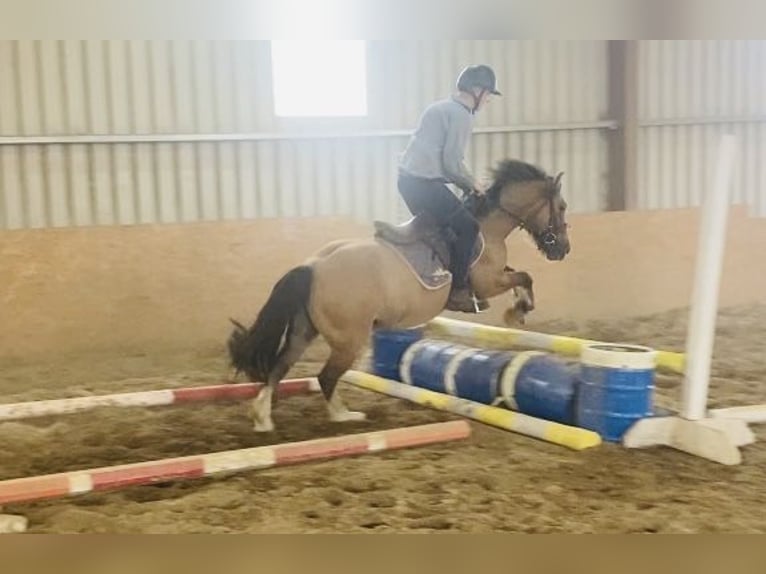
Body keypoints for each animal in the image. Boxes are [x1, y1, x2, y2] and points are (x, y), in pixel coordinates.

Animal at [226, 160, 568, 434]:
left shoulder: (497, 275)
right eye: (562, 206)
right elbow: (524, 277)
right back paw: (344, 416)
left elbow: (520, 275)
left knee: (280, 366)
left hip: (304, 330)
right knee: (325, 376)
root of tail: (314, 265)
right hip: (348, 339)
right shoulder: (488, 282)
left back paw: (263, 418)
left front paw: (519, 307)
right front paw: (519, 310)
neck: (489, 227)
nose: (563, 249)